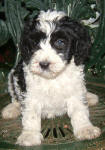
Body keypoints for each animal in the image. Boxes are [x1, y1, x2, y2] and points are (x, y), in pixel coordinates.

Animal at [1, 10, 100, 145]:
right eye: (35, 43)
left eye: (60, 42)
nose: (44, 64)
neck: (52, 78)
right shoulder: (30, 92)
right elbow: (31, 114)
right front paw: (29, 135)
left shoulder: (75, 89)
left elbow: (79, 109)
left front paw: (85, 129)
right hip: (13, 74)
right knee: (15, 96)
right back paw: (11, 109)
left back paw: (89, 97)